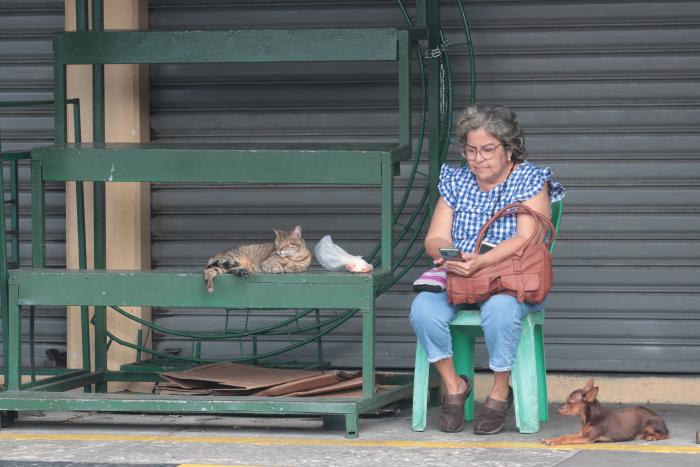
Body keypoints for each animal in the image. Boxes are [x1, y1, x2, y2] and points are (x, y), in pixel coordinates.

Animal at [540, 378, 668, 444]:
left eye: (570, 402)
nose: (558, 410)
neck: (589, 418)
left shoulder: (587, 438)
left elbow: (567, 439)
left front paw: (554, 442)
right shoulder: (581, 434)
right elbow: (564, 436)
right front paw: (549, 439)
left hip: (649, 424)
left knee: (665, 435)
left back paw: (653, 437)